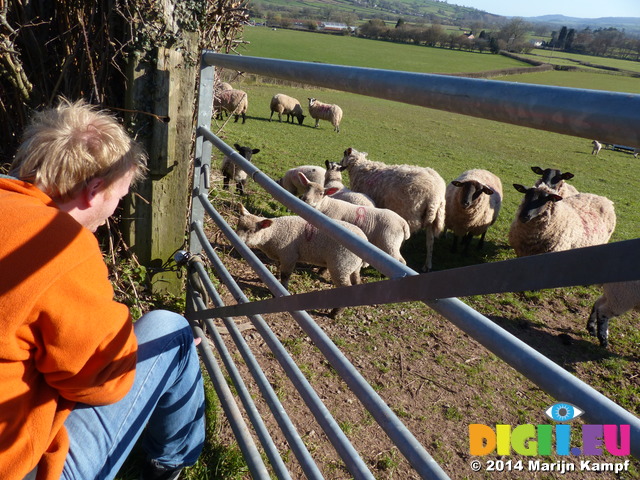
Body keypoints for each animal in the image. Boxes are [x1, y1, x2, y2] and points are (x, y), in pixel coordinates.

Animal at [235, 204, 368, 316]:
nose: (236, 239)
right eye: (238, 225)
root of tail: (365, 239)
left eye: (251, 231)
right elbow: (278, 268)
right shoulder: (281, 256)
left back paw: (335, 313)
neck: (272, 234)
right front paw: (275, 279)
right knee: (356, 282)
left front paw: (282, 289)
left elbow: (285, 275)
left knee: (345, 288)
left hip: (341, 265)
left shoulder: (289, 256)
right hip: (352, 266)